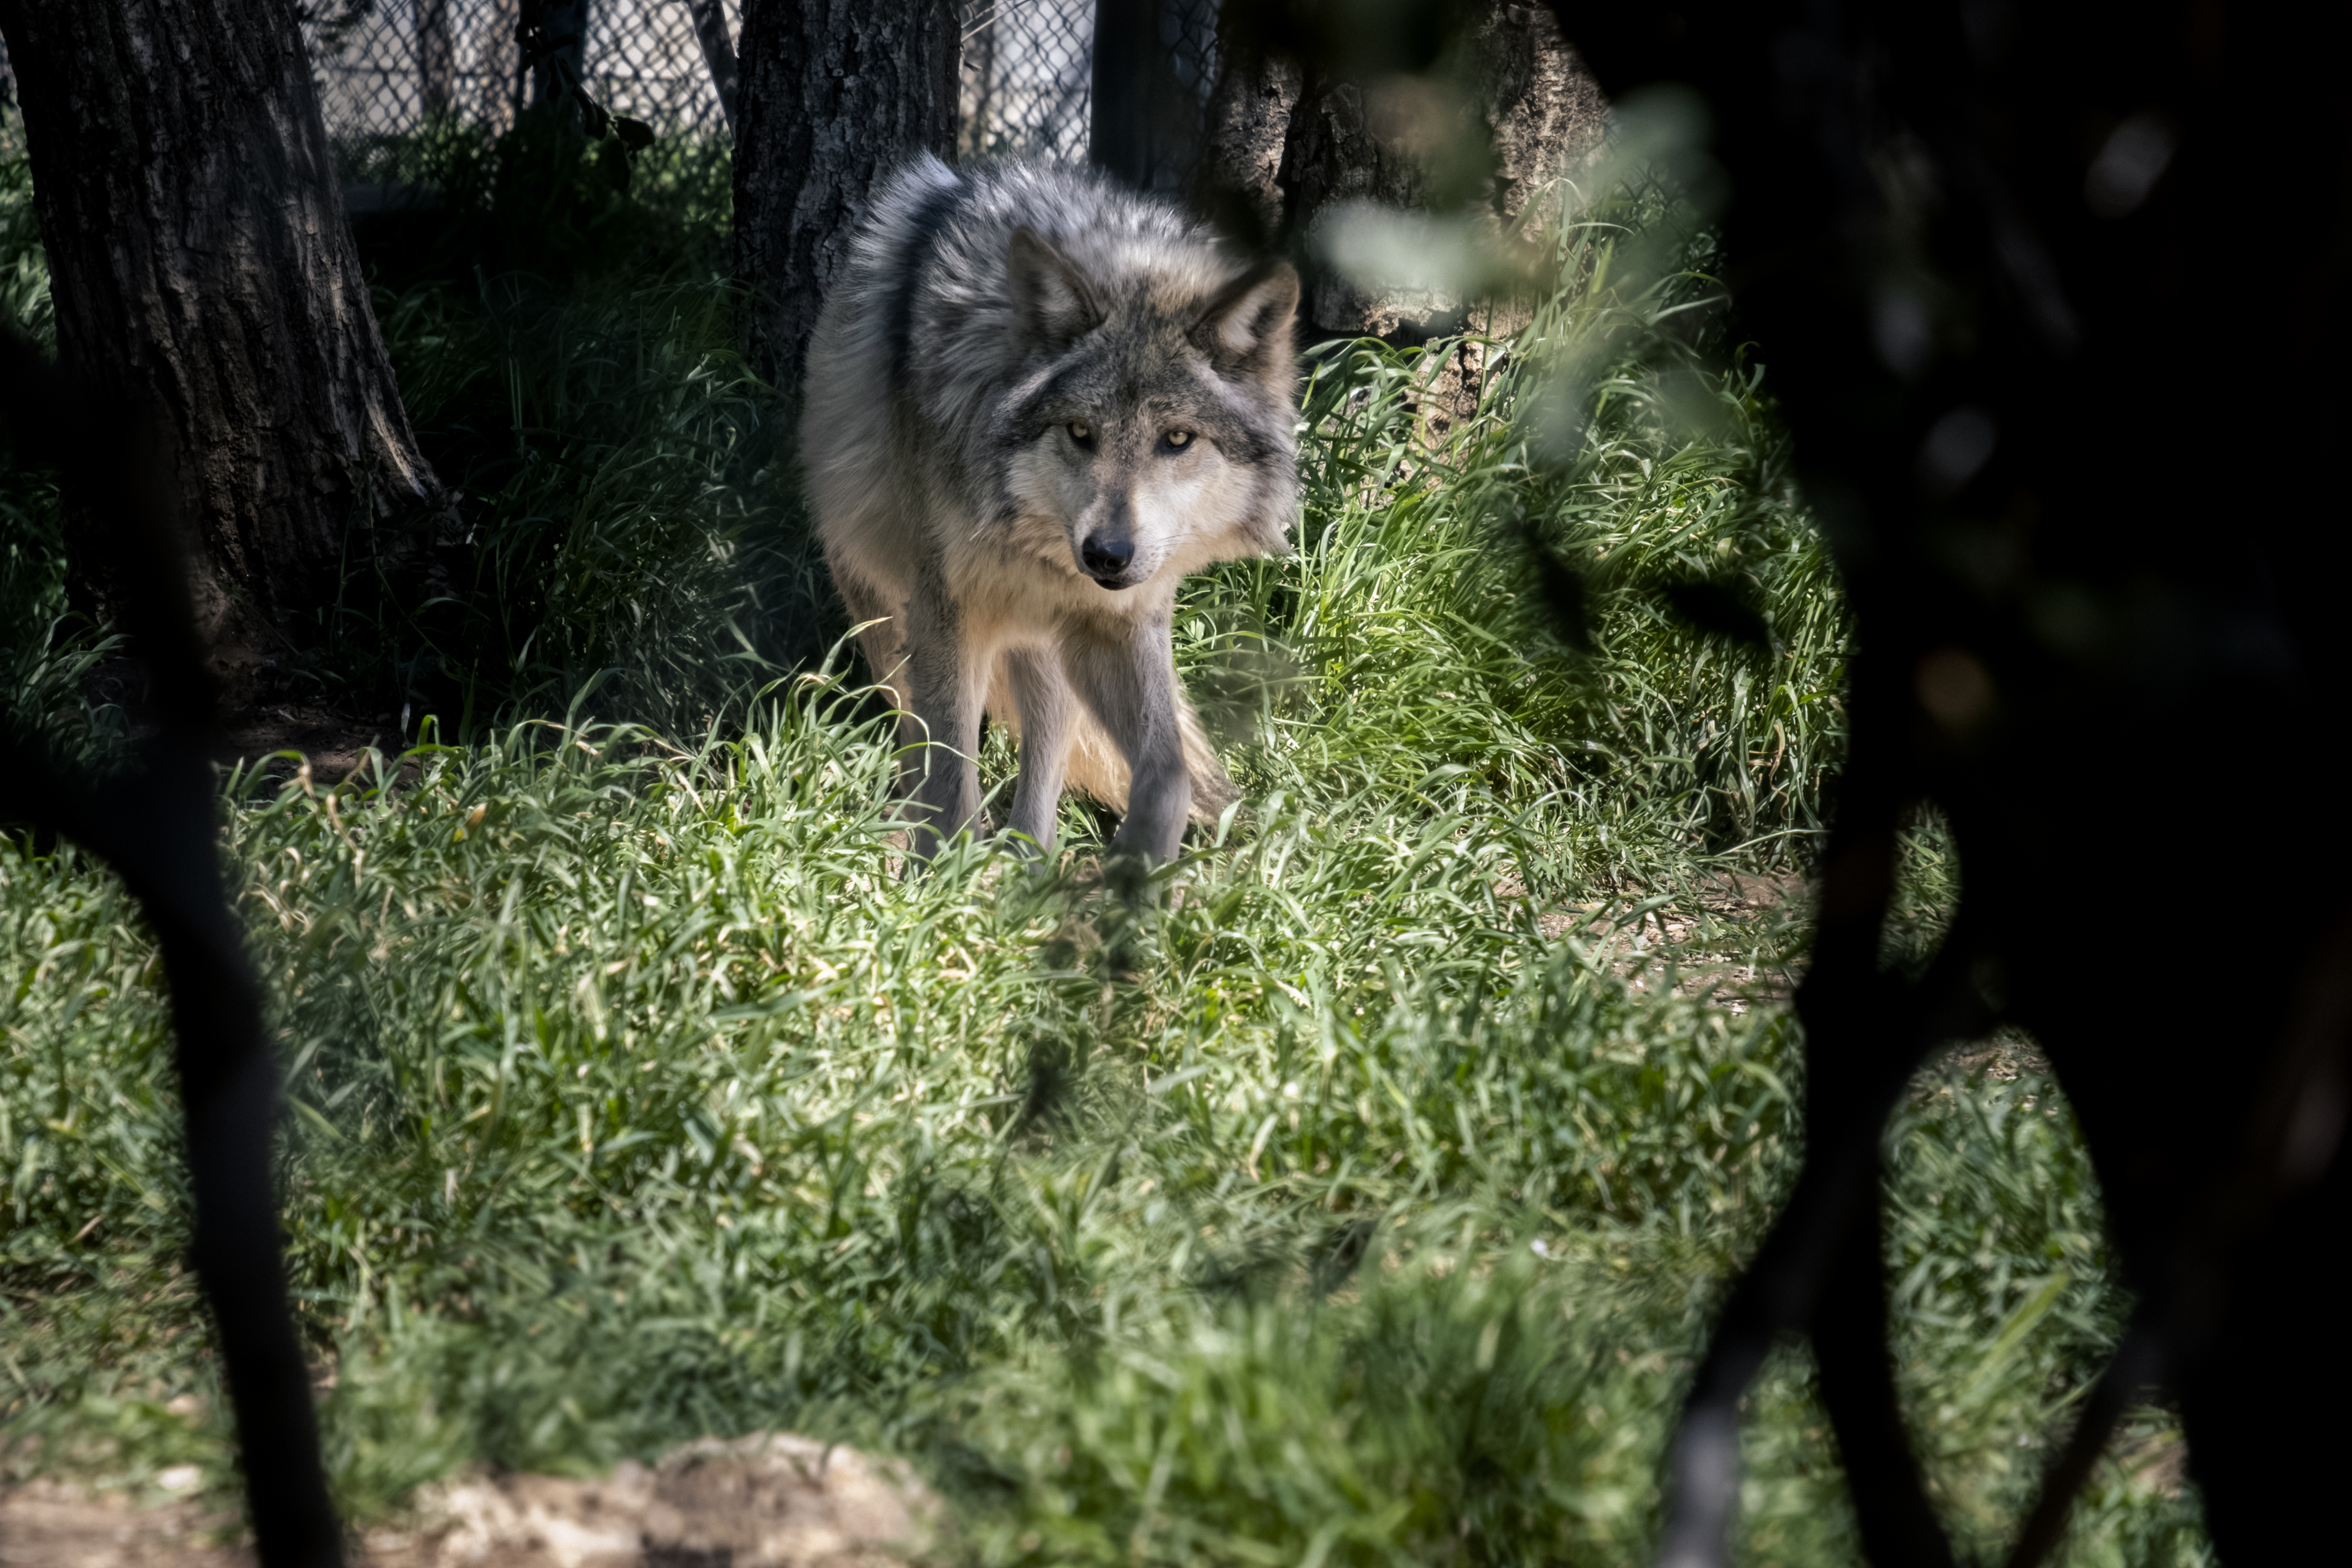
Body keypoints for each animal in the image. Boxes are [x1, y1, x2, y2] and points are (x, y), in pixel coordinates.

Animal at [801, 155, 1301, 864]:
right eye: (1080, 431)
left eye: (1177, 438)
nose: (1106, 555)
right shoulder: (947, 614)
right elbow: (949, 777)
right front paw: (946, 880)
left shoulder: (1121, 619)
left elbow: (1168, 774)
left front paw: (1137, 874)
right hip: (887, 613)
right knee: (912, 735)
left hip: (1049, 649)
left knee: (1046, 753)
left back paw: (1030, 862)